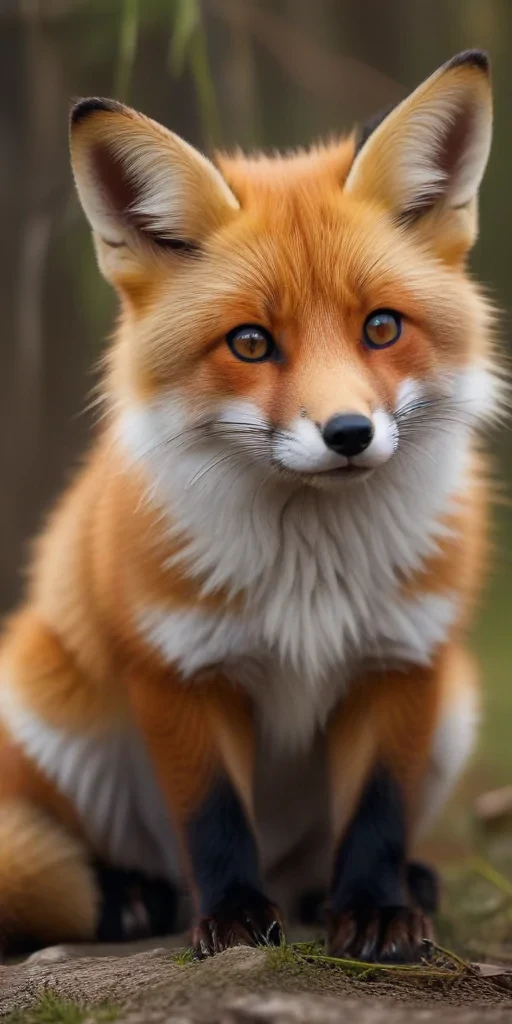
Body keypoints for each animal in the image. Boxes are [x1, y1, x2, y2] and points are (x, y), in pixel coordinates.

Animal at [0, 49, 501, 963]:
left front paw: (375, 910)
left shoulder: (405, 658)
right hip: (47, 705)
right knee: (74, 861)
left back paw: (363, 889)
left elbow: (377, 810)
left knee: (316, 863)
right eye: (250, 343)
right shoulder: (178, 665)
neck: (309, 572)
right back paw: (134, 899)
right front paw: (232, 920)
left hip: (456, 707)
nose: (349, 433)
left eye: (382, 328)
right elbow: (213, 817)